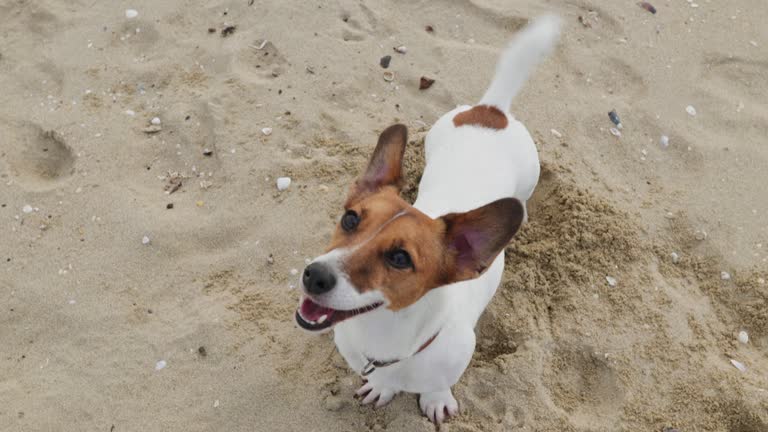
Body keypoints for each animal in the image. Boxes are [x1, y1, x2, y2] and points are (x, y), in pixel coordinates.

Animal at [296, 14, 560, 426]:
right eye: (350, 219)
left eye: (400, 258)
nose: (314, 275)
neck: (385, 340)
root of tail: (492, 111)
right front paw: (382, 387)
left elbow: (438, 385)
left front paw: (435, 399)